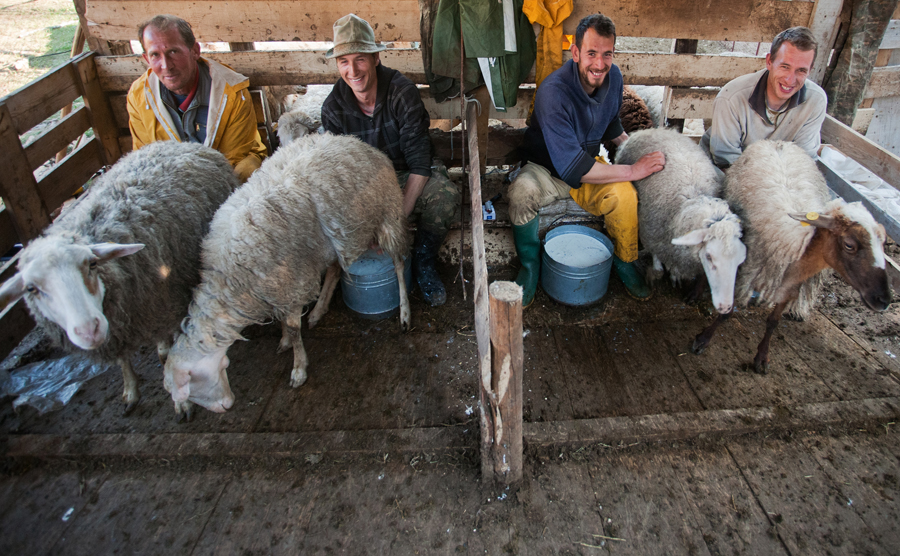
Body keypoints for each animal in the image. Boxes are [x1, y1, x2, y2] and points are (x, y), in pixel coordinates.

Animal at [0, 141, 239, 414]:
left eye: (91, 264)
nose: (89, 330)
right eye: (31, 288)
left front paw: (182, 403)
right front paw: (130, 391)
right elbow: (123, 360)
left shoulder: (168, 300)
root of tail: (174, 143)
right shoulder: (119, 325)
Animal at [163, 132, 410, 414]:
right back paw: (318, 310)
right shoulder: (279, 285)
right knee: (335, 269)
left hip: (387, 213)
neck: (232, 277)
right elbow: (284, 320)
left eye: (192, 385)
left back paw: (404, 313)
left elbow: (293, 327)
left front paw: (298, 367)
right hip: (332, 239)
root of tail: (354, 141)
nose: (227, 406)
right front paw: (284, 341)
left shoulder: (292, 280)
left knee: (399, 264)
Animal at [620, 127, 744, 314]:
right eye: (709, 256)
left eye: (739, 260)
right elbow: (657, 261)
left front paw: (677, 278)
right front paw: (656, 272)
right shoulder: (653, 233)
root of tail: (652, 130)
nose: (725, 307)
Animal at [688, 140, 892, 374]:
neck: (798, 246)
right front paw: (702, 339)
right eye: (849, 245)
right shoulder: (741, 272)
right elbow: (726, 313)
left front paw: (762, 357)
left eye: (883, 243)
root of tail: (778, 142)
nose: (883, 300)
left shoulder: (791, 287)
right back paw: (696, 292)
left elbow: (773, 322)